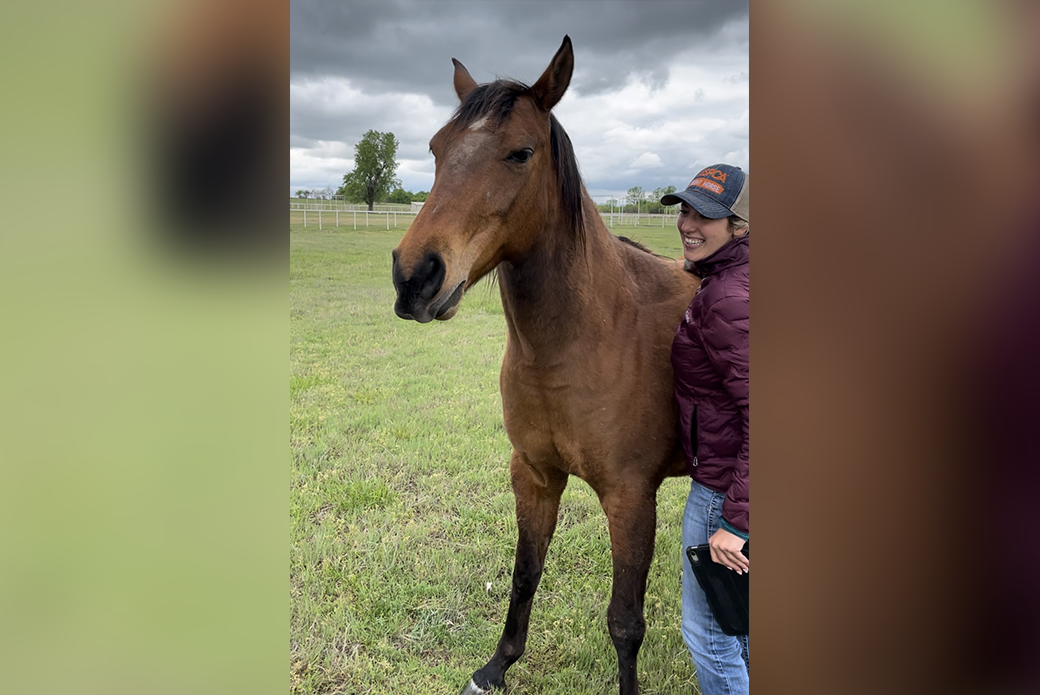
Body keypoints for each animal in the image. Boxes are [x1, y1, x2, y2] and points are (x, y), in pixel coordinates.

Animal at [391, 35, 698, 690]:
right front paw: (495, 667)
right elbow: (524, 577)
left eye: (520, 153)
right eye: (436, 149)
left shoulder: (631, 499)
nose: (414, 276)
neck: (582, 341)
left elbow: (625, 622)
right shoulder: (533, 476)